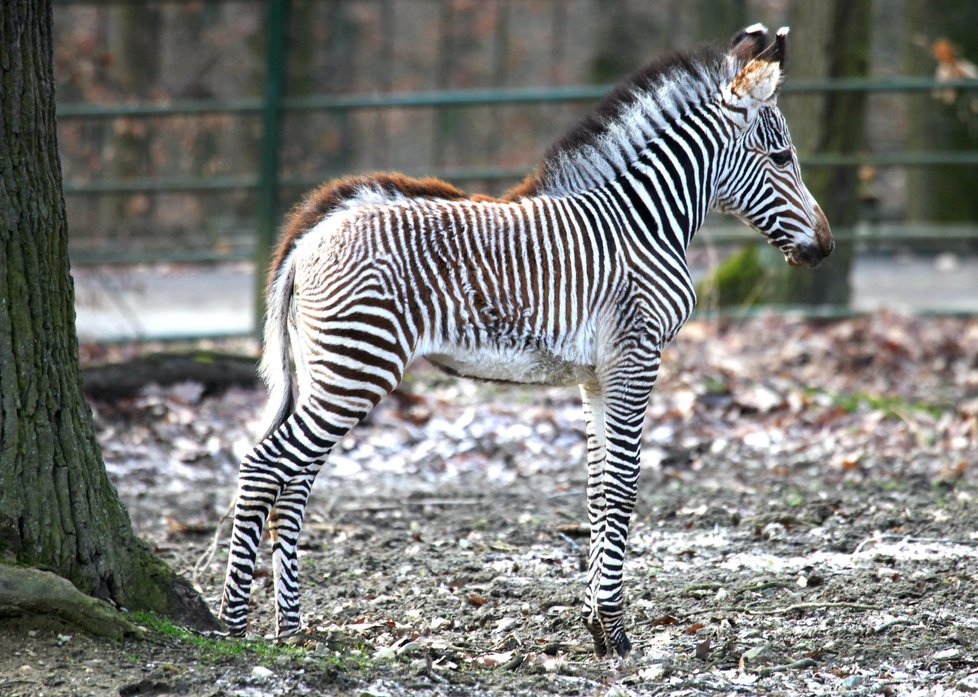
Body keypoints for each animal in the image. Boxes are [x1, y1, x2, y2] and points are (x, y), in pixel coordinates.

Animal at [219, 25, 832, 656]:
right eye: (782, 158)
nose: (826, 248)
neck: (641, 220)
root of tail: (311, 232)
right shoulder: (635, 357)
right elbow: (623, 488)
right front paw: (616, 632)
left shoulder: (597, 376)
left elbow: (596, 490)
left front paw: (595, 624)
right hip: (358, 365)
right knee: (264, 465)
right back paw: (233, 628)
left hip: (326, 370)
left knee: (292, 482)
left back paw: (291, 629)